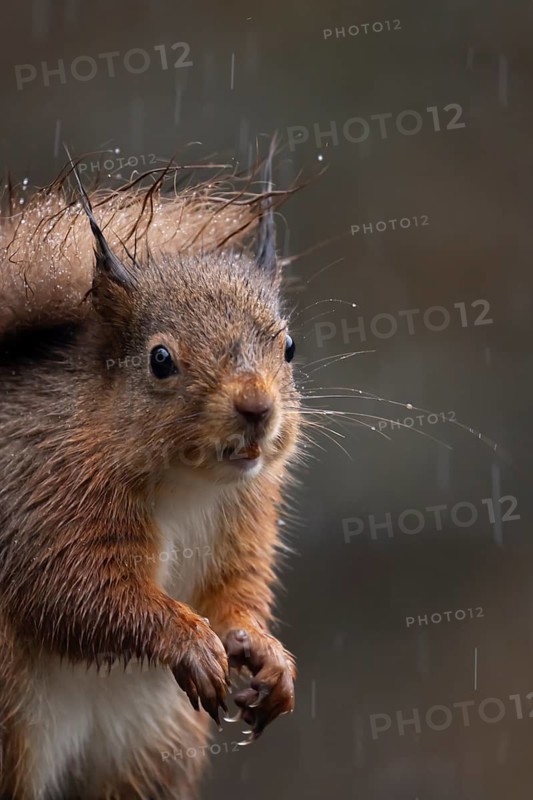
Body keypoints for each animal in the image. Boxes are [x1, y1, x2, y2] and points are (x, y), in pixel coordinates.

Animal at [0, 156, 300, 800]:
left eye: (289, 346)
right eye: (160, 360)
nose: (257, 407)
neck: (190, 485)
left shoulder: (245, 519)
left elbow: (237, 589)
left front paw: (262, 648)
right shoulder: (42, 494)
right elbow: (80, 591)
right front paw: (186, 639)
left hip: (148, 749)